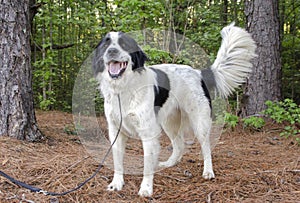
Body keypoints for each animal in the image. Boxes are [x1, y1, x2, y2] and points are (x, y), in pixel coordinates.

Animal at [92, 23, 256, 197]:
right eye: (105, 45)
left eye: (123, 44)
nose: (111, 51)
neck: (123, 89)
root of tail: (198, 73)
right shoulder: (115, 130)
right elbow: (117, 161)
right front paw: (116, 183)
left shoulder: (148, 133)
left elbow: (147, 165)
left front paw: (146, 188)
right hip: (169, 123)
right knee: (179, 145)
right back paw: (170, 163)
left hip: (200, 122)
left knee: (206, 147)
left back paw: (208, 171)